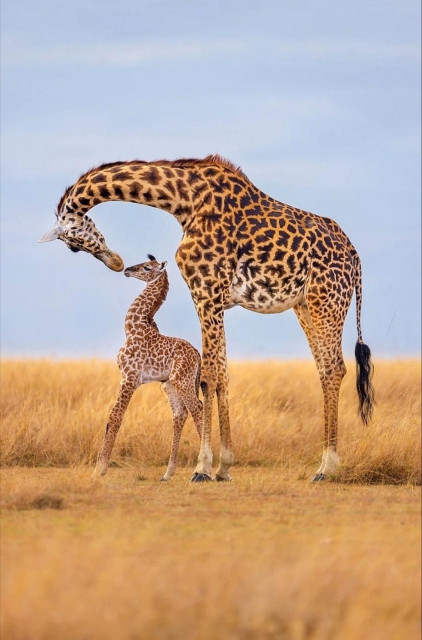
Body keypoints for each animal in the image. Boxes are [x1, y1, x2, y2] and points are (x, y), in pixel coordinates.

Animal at [94, 255, 203, 480]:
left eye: (146, 267)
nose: (127, 269)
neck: (132, 328)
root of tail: (197, 354)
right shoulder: (128, 377)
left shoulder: (129, 377)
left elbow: (115, 417)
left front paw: (99, 469)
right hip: (169, 384)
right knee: (180, 414)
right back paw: (168, 473)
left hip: (183, 380)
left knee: (198, 408)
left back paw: (203, 469)